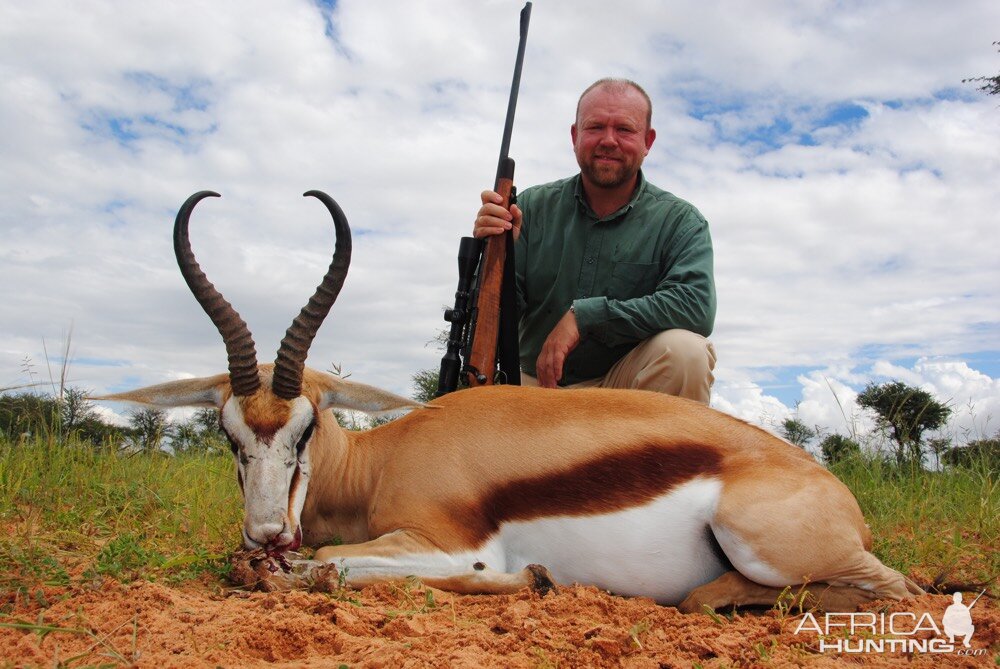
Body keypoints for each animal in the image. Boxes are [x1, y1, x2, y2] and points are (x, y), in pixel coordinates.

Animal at [99, 190, 920, 612]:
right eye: (228, 435)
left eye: (307, 428)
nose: (266, 533)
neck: (382, 460)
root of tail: (835, 491)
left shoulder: (445, 539)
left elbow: (329, 562)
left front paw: (530, 577)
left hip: (769, 543)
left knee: (898, 588)